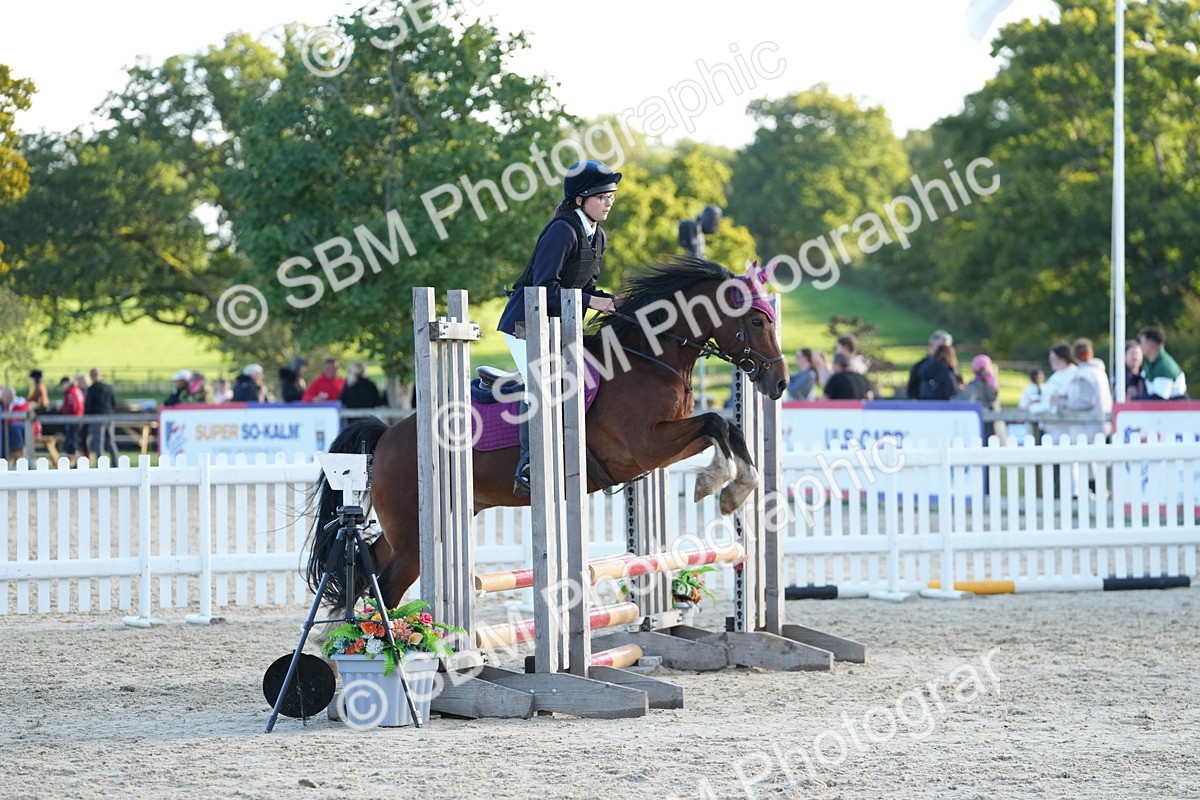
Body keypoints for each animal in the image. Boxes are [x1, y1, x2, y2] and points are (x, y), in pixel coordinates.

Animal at [306, 256, 789, 609]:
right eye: (758, 322)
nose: (780, 383)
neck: (648, 360)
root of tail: (388, 438)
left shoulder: (663, 446)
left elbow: (726, 427)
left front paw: (734, 487)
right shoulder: (643, 447)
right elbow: (716, 422)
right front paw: (721, 487)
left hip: (420, 528)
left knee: (366, 571)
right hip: (415, 538)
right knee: (384, 588)